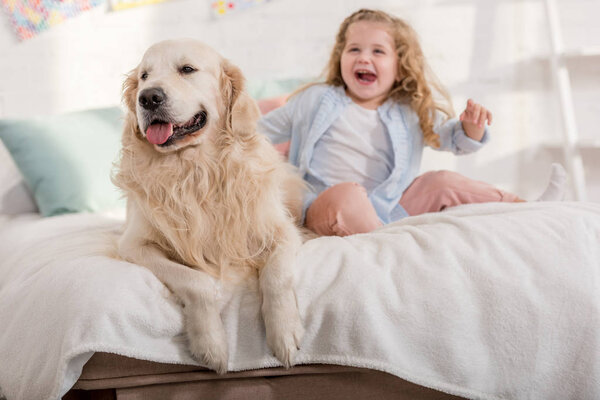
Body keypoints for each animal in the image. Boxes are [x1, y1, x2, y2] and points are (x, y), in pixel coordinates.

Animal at [113, 39, 304, 374]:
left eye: (187, 69)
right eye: (145, 76)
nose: (148, 97)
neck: (195, 169)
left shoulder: (282, 231)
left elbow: (277, 275)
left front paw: (285, 332)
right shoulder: (134, 245)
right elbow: (197, 282)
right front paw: (211, 344)